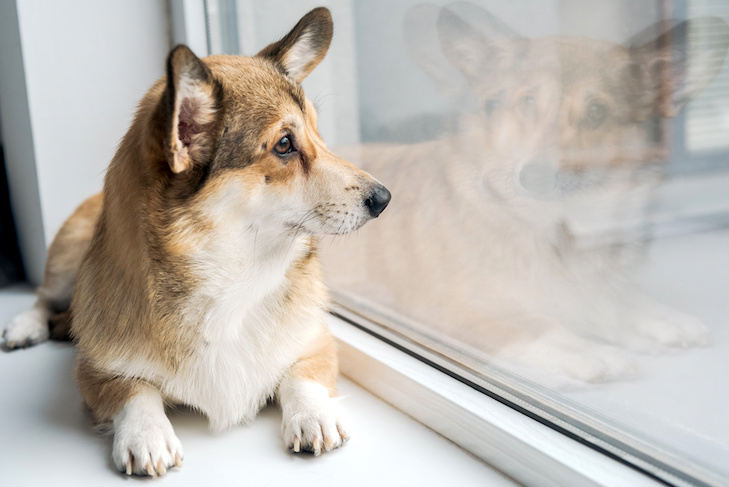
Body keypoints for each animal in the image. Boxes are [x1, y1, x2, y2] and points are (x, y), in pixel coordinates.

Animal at [2, 7, 390, 478]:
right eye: (284, 144)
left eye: (318, 133)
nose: (384, 199)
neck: (235, 276)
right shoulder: (95, 374)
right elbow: (134, 392)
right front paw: (147, 435)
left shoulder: (316, 341)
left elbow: (302, 375)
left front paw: (314, 415)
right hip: (66, 258)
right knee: (43, 296)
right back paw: (24, 327)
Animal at [324, 2, 728, 386]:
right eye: (528, 102)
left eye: (597, 112)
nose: (536, 178)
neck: (555, 230)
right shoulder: (449, 311)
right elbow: (536, 326)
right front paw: (592, 354)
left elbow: (614, 303)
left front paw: (659, 318)